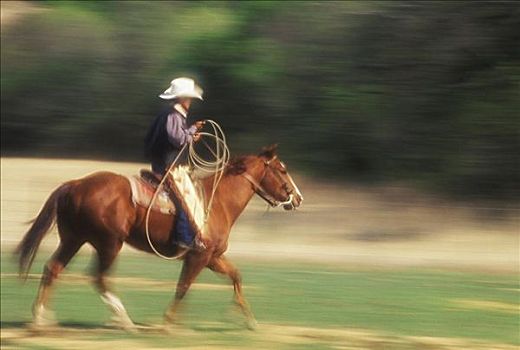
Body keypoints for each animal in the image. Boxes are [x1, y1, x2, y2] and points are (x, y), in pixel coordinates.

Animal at [15, 145, 300, 330]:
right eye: (283, 169)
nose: (297, 198)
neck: (217, 201)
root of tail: (74, 184)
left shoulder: (212, 257)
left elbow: (236, 276)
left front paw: (248, 318)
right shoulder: (198, 256)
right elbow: (183, 287)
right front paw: (168, 322)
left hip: (74, 240)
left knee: (53, 268)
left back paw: (41, 318)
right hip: (109, 244)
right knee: (99, 277)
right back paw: (124, 320)